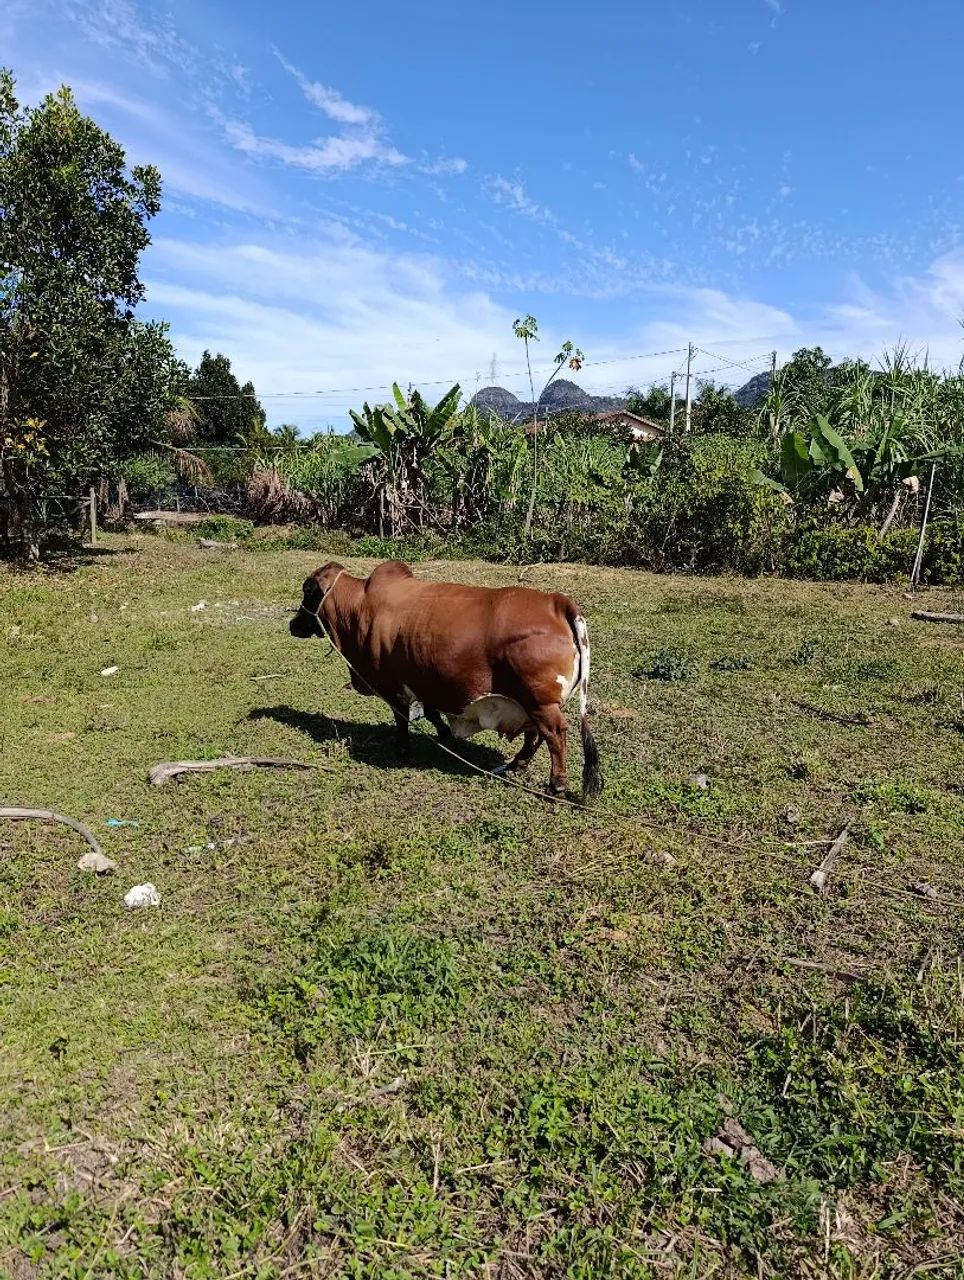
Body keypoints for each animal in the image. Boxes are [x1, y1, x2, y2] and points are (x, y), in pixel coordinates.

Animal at [289, 560, 603, 803]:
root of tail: (556, 602)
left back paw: (556, 784)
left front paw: (402, 748)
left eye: (307, 591)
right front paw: (445, 735)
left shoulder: (393, 686)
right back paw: (516, 764)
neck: (360, 608)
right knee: (535, 736)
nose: (293, 624)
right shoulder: (426, 680)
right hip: (530, 704)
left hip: (540, 702)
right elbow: (430, 712)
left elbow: (401, 719)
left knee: (554, 734)